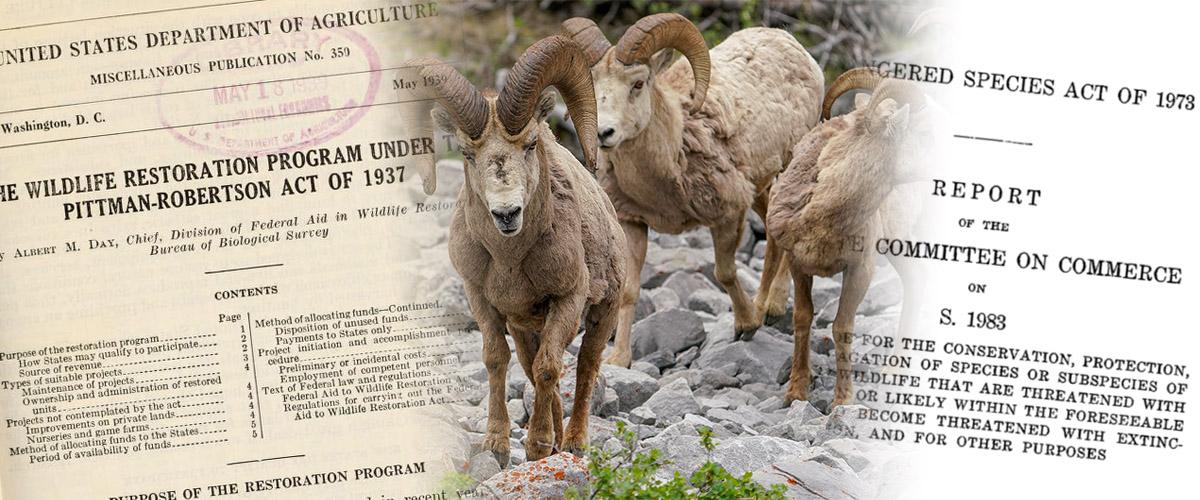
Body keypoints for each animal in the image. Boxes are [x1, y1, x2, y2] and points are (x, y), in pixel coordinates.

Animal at [399, 36, 628, 464]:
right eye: (468, 153)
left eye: (531, 144)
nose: (507, 213)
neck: (509, 261)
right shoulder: (481, 299)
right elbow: (497, 360)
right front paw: (498, 446)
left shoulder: (568, 298)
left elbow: (549, 368)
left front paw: (537, 446)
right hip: (526, 328)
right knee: (530, 364)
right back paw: (557, 441)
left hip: (603, 312)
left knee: (585, 365)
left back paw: (571, 443)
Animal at [562, 14, 825, 366]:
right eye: (592, 83)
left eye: (638, 83)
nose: (605, 133)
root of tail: (789, 42)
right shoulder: (634, 223)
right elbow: (630, 289)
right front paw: (618, 360)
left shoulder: (727, 214)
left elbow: (724, 272)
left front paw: (747, 325)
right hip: (759, 186)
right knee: (771, 225)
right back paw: (763, 304)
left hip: (789, 165)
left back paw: (772, 307)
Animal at [757, 69, 936, 408]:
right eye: (924, 132)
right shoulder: (798, 264)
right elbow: (802, 318)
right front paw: (795, 392)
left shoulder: (860, 268)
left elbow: (842, 327)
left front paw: (843, 401)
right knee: (917, 279)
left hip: (895, 241)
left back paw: (894, 372)